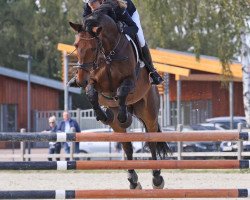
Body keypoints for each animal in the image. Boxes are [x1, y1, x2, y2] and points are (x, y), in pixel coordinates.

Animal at [69, 7, 169, 189]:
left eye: (93, 48)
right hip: (119, 126)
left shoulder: (130, 81)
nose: (80, 80)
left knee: (151, 142)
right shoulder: (94, 82)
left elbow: (121, 92)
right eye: (76, 45)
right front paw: (103, 115)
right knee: (127, 146)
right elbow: (92, 94)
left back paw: (157, 178)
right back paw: (133, 180)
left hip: (149, 113)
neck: (109, 53)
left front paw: (124, 117)